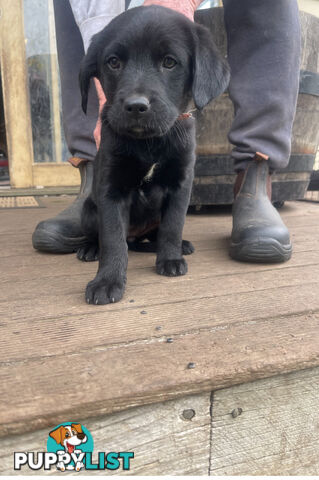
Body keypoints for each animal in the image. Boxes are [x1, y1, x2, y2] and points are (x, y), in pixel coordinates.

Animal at [78, 5, 230, 306]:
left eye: (169, 62)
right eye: (113, 62)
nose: (136, 106)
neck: (149, 142)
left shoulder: (180, 184)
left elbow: (173, 225)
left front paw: (170, 258)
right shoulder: (111, 190)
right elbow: (112, 239)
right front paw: (107, 281)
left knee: (152, 237)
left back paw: (177, 246)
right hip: (89, 210)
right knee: (112, 239)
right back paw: (90, 248)